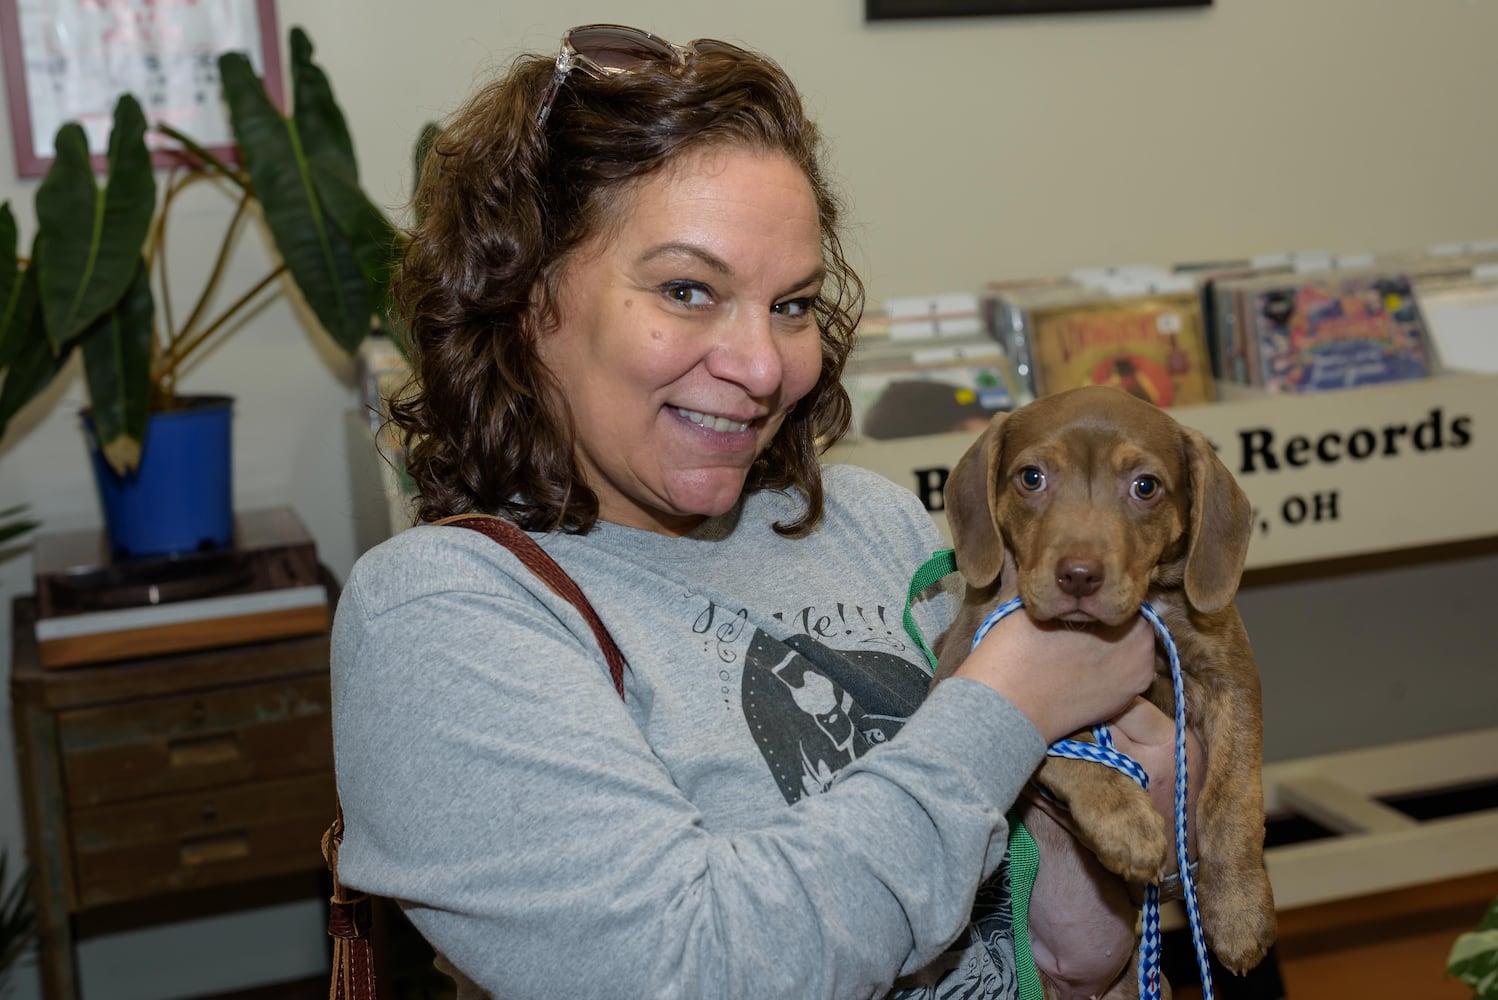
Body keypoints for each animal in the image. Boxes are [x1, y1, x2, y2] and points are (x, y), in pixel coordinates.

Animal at [934, 386, 1276, 994]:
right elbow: (1061, 749)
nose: (1078, 575)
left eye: (1145, 486)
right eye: (1032, 478)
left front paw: (1240, 909)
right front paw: (1126, 822)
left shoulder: (1232, 678)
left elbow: (1231, 798)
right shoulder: (960, 677)